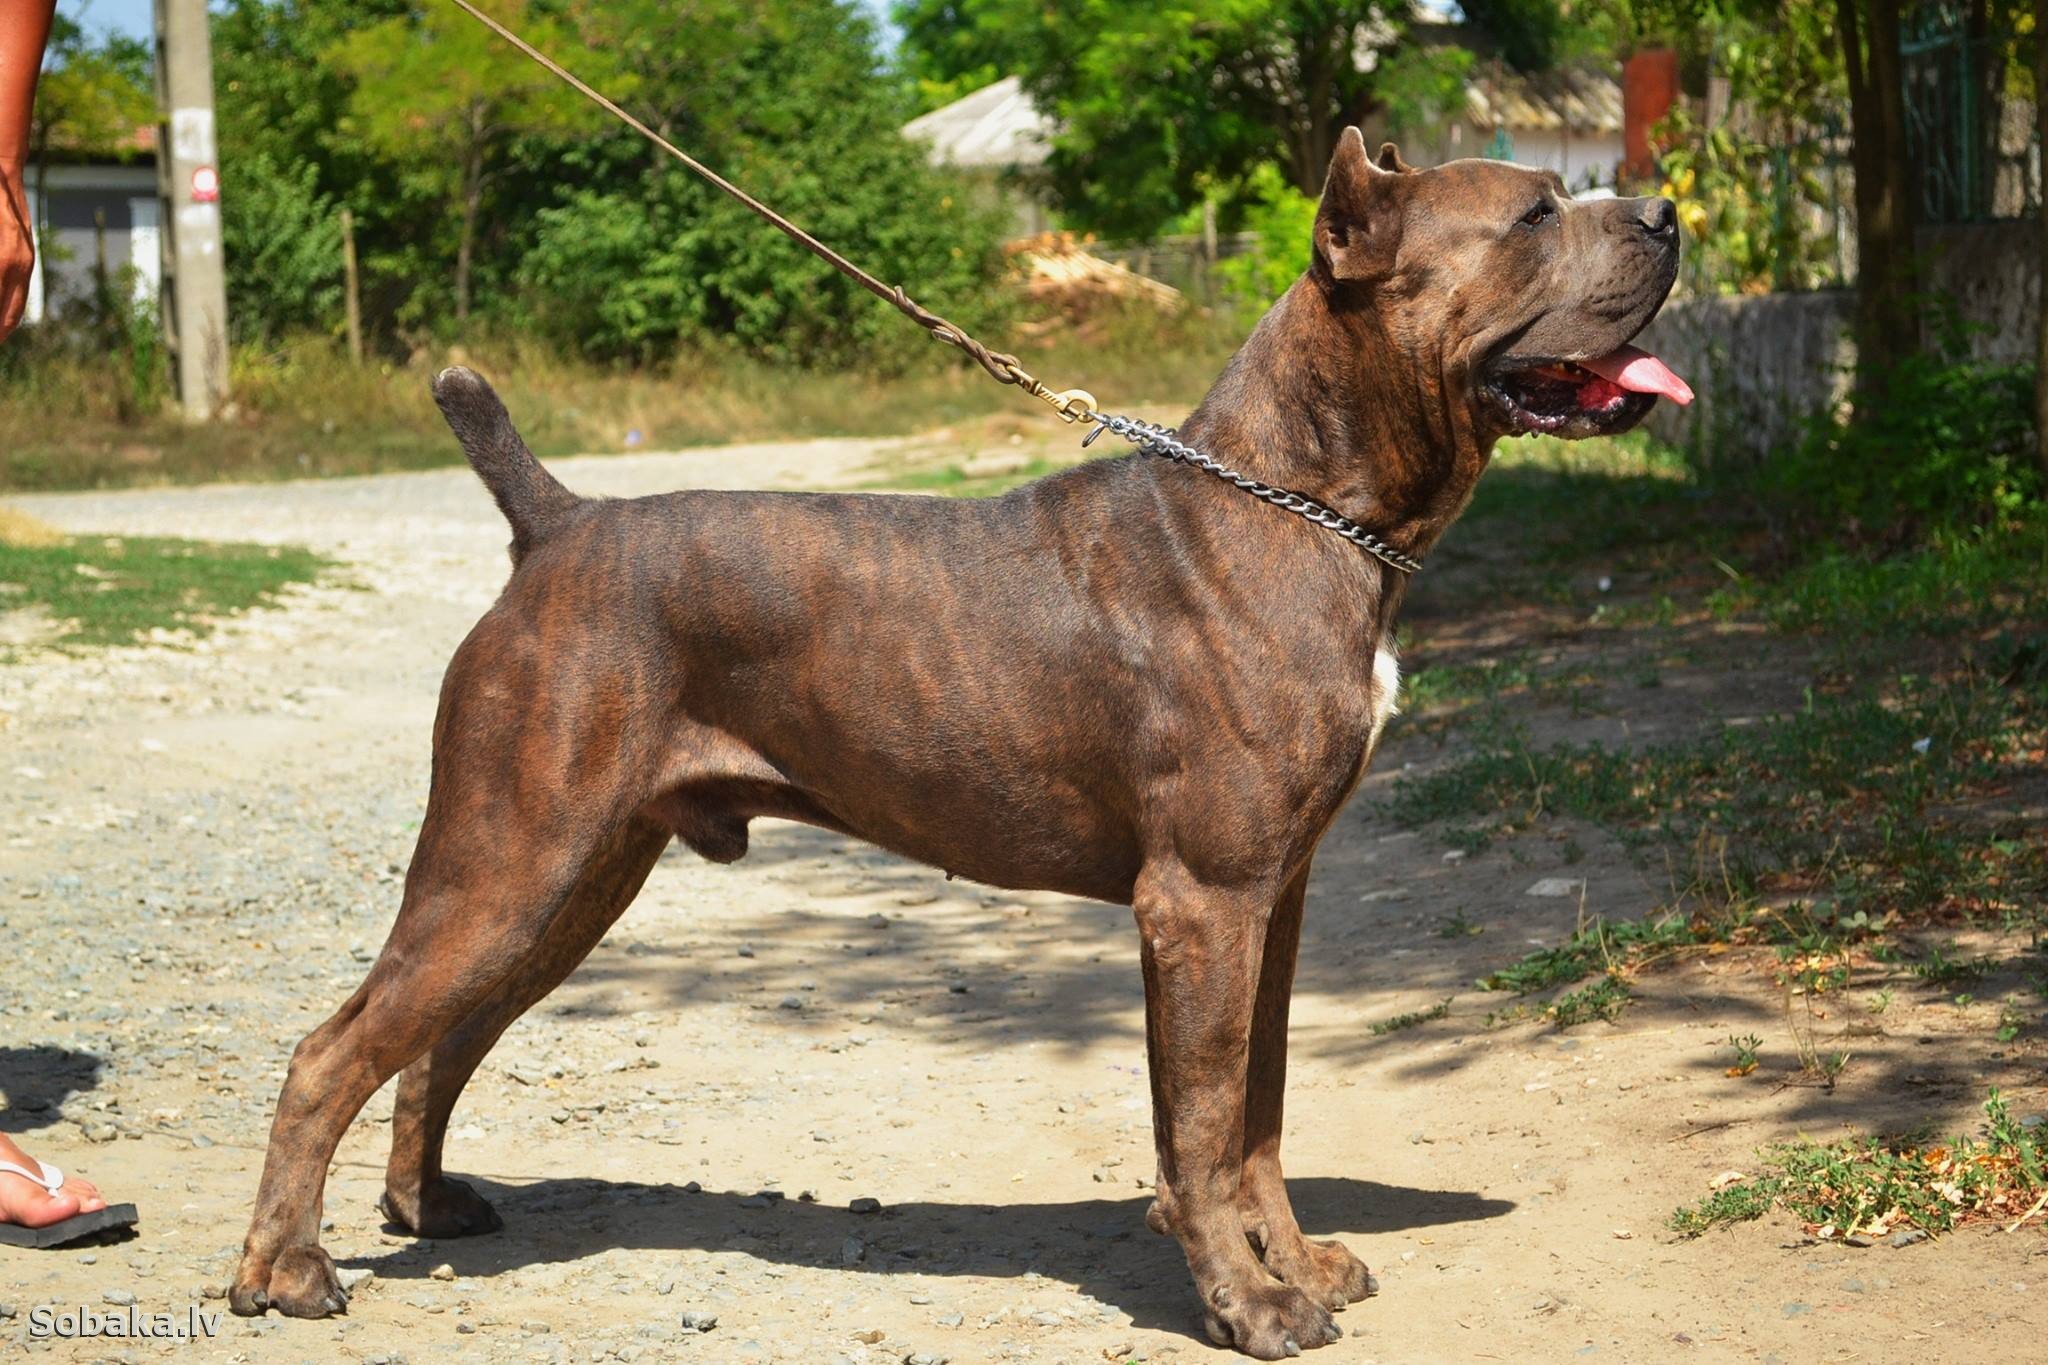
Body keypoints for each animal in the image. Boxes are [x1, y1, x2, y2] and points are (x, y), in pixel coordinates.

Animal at [230, 128, 1687, 1357]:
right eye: (1536, 213)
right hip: (505, 857)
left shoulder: (1276, 894)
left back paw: (423, 1206)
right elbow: (1204, 1118)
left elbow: (1259, 1108)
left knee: (437, 1040)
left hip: (572, 877)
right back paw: (289, 1270)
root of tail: (557, 525)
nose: (1669, 211)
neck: (1301, 501)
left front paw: (1295, 1262)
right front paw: (1248, 1302)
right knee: (329, 1049)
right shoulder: (1203, 903)